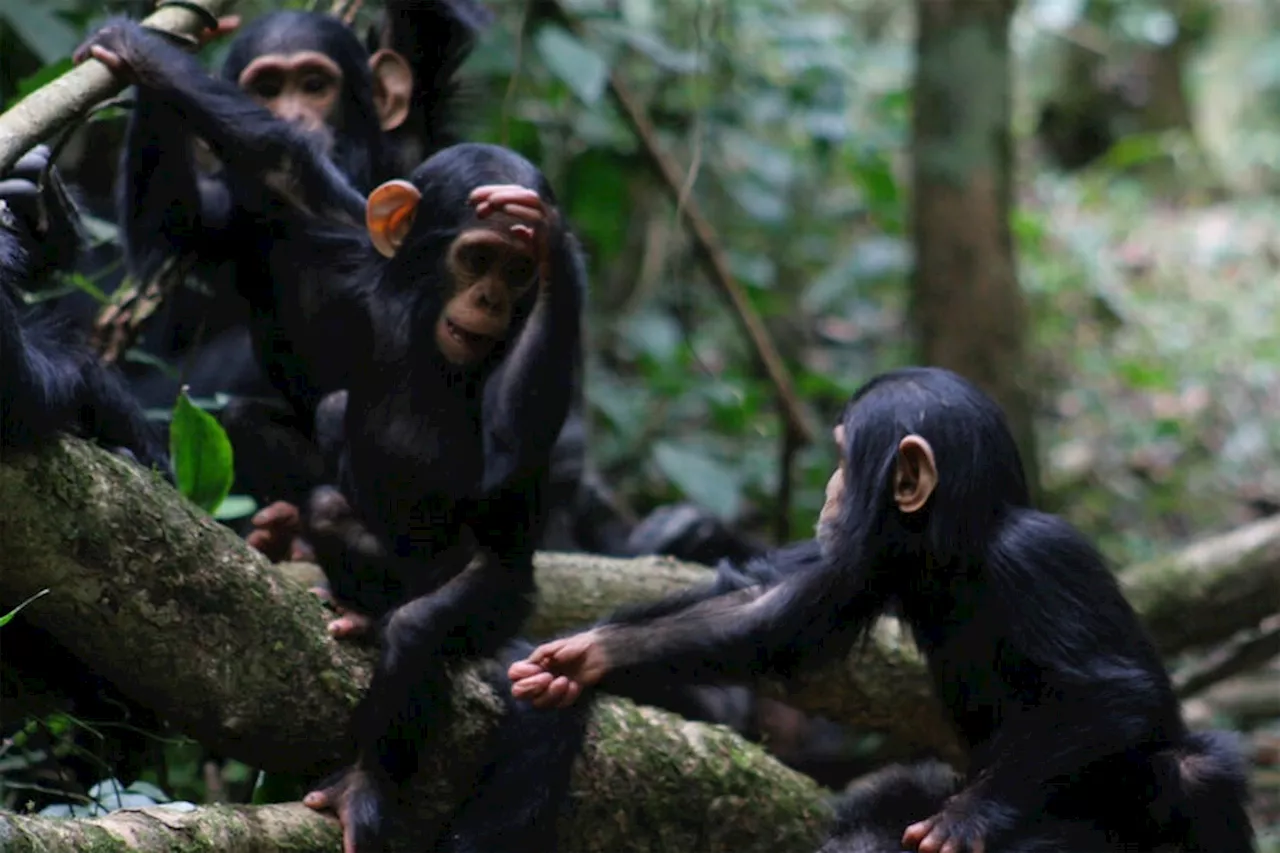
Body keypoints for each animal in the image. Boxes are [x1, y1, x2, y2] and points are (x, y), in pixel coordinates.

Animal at [76, 21, 586, 850]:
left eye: (516, 272)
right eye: (478, 257)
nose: (489, 298)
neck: (420, 321)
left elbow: (515, 449)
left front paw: (557, 245)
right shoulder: (339, 235)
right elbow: (279, 167)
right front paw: (141, 51)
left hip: (506, 592)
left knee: (422, 629)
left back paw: (365, 777)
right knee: (330, 494)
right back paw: (346, 593)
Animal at [506, 366, 1249, 850]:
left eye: (842, 456)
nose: (831, 489)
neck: (959, 547)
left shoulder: (1039, 559)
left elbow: (1106, 692)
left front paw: (966, 819)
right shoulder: (866, 562)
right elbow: (771, 618)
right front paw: (588, 654)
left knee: (1198, 772)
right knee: (881, 795)